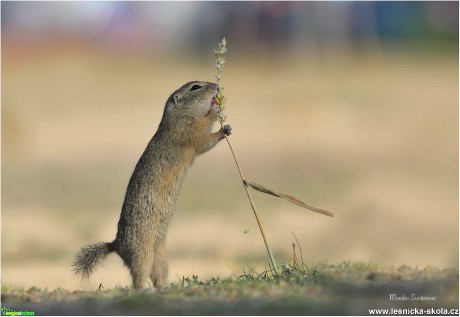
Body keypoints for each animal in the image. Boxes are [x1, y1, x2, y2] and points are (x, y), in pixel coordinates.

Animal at [73, 80, 232, 288]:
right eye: (195, 87)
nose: (216, 86)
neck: (178, 114)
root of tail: (116, 244)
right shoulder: (188, 131)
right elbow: (204, 137)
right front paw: (216, 112)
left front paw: (226, 127)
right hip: (142, 254)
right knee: (138, 279)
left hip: (160, 257)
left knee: (158, 275)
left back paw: (163, 287)